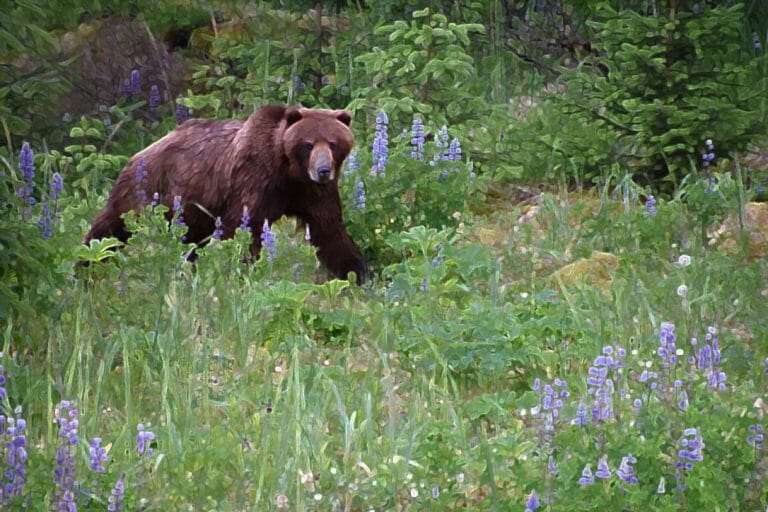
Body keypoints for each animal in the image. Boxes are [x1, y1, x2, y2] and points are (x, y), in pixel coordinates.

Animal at [83, 105, 367, 283]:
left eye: (333, 143)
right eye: (308, 144)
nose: (323, 170)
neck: (288, 172)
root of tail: (139, 152)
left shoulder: (311, 192)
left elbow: (329, 231)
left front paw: (358, 273)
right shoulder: (255, 180)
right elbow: (243, 227)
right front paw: (241, 269)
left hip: (192, 207)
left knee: (191, 239)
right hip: (149, 188)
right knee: (111, 227)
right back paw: (84, 265)